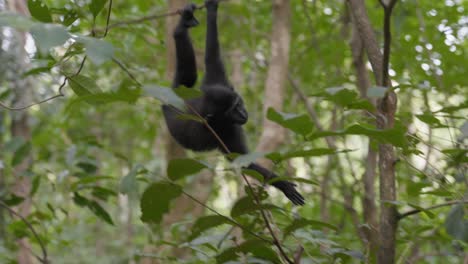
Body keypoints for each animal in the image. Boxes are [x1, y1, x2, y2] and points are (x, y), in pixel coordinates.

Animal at [163, 0, 306, 205]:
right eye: (232, 110)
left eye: (239, 104)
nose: (243, 113)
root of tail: (167, 103)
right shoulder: (222, 131)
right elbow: (242, 161)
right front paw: (282, 184)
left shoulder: (217, 85)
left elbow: (212, 57)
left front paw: (212, 10)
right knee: (188, 77)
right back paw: (181, 28)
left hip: (181, 91)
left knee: (188, 77)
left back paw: (182, 27)